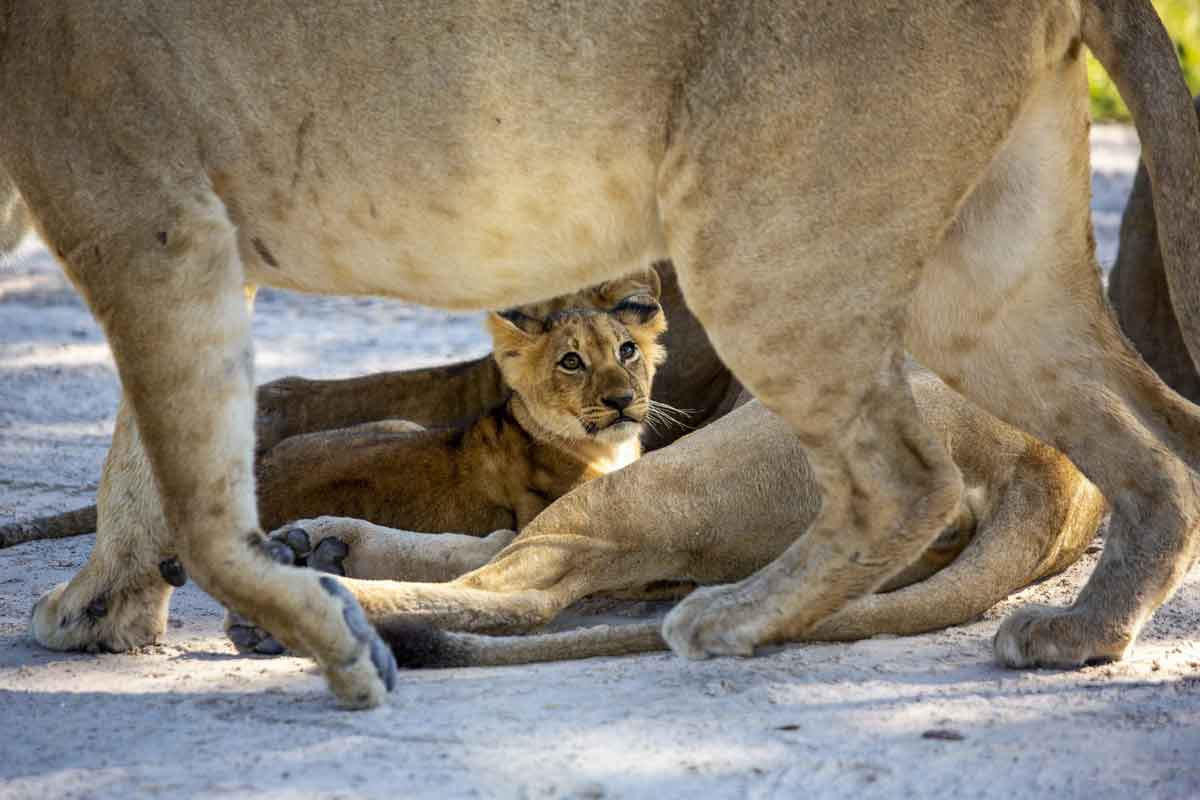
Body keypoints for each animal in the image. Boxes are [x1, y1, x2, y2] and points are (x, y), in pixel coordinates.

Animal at [2, 0, 1200, 705]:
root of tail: (1045, 480)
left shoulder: (148, 217)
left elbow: (180, 471)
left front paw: (121, 603)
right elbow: (151, 451)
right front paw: (106, 599)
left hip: (756, 277)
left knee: (538, 581)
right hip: (986, 282)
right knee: (1165, 439)